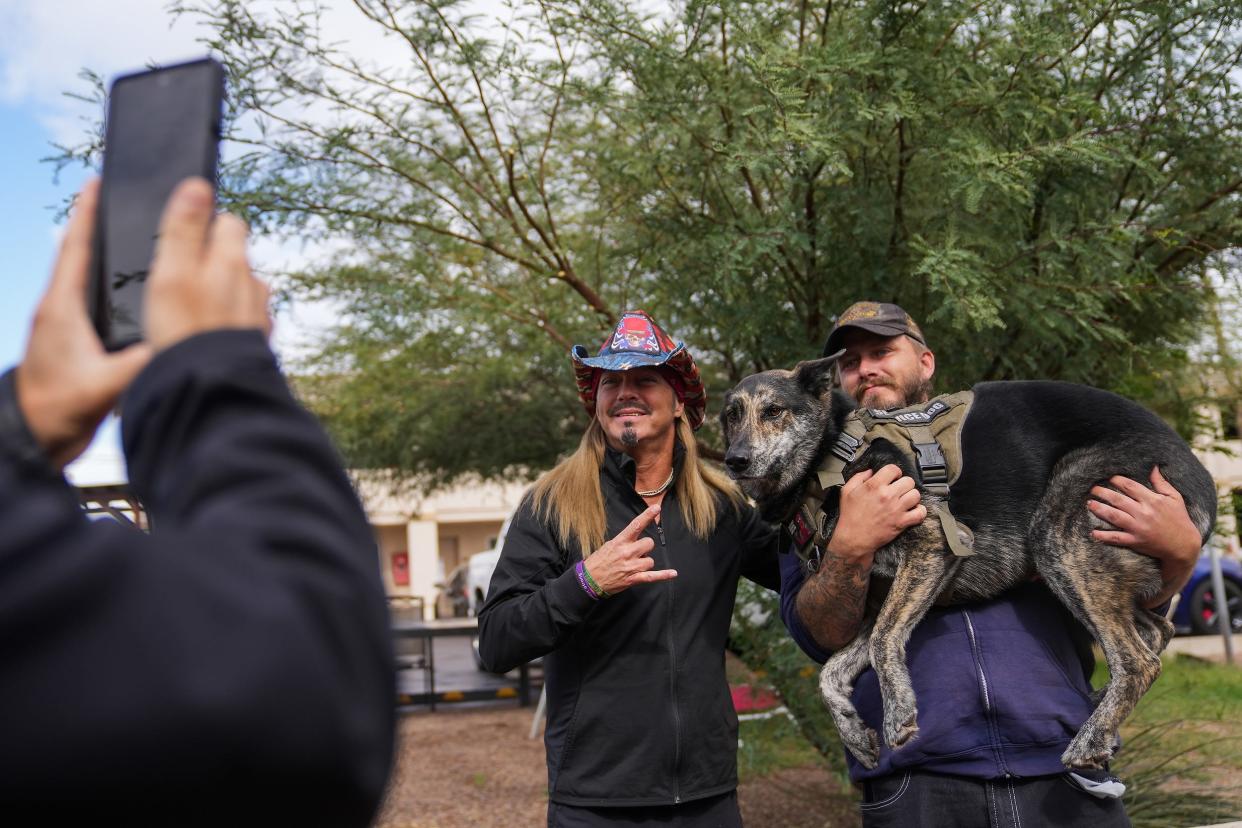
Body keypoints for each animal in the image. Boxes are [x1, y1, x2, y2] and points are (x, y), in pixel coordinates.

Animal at [720, 357, 1212, 769]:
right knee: (1158, 631)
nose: (734, 460)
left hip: (1061, 532)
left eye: (774, 411)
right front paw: (854, 732)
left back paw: (1089, 739)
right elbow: (830, 671)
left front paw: (898, 710)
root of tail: (1201, 476)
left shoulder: (933, 543)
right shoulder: (884, 594)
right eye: (730, 416)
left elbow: (881, 642)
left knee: (1139, 661)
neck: (831, 452)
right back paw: (1099, 709)